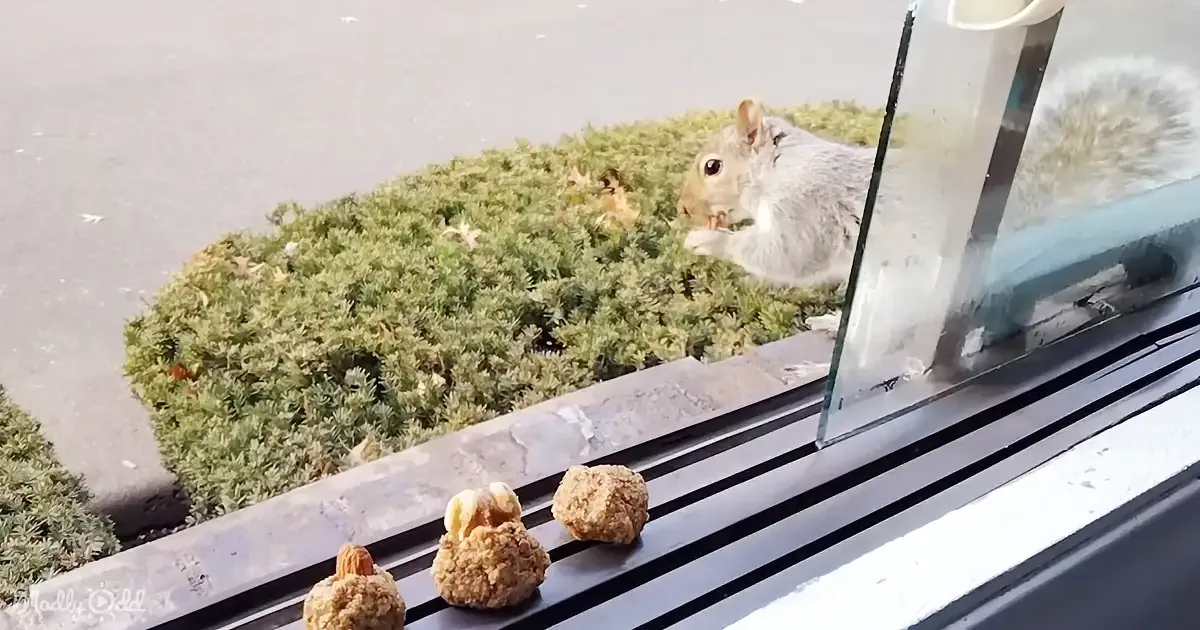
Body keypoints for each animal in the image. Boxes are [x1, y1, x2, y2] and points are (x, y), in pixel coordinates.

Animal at [677, 56, 1200, 349]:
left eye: (712, 167)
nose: (683, 208)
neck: (780, 166)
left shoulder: (807, 204)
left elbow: (787, 254)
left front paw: (707, 241)